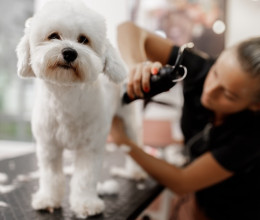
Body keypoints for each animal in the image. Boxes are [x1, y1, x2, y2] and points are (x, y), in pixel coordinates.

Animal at [15, 0, 146, 217]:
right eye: (53, 35)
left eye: (84, 40)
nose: (70, 52)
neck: (66, 99)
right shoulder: (48, 146)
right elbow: (51, 176)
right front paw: (48, 198)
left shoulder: (90, 147)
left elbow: (85, 177)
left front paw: (86, 203)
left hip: (129, 123)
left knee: (136, 146)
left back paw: (136, 172)